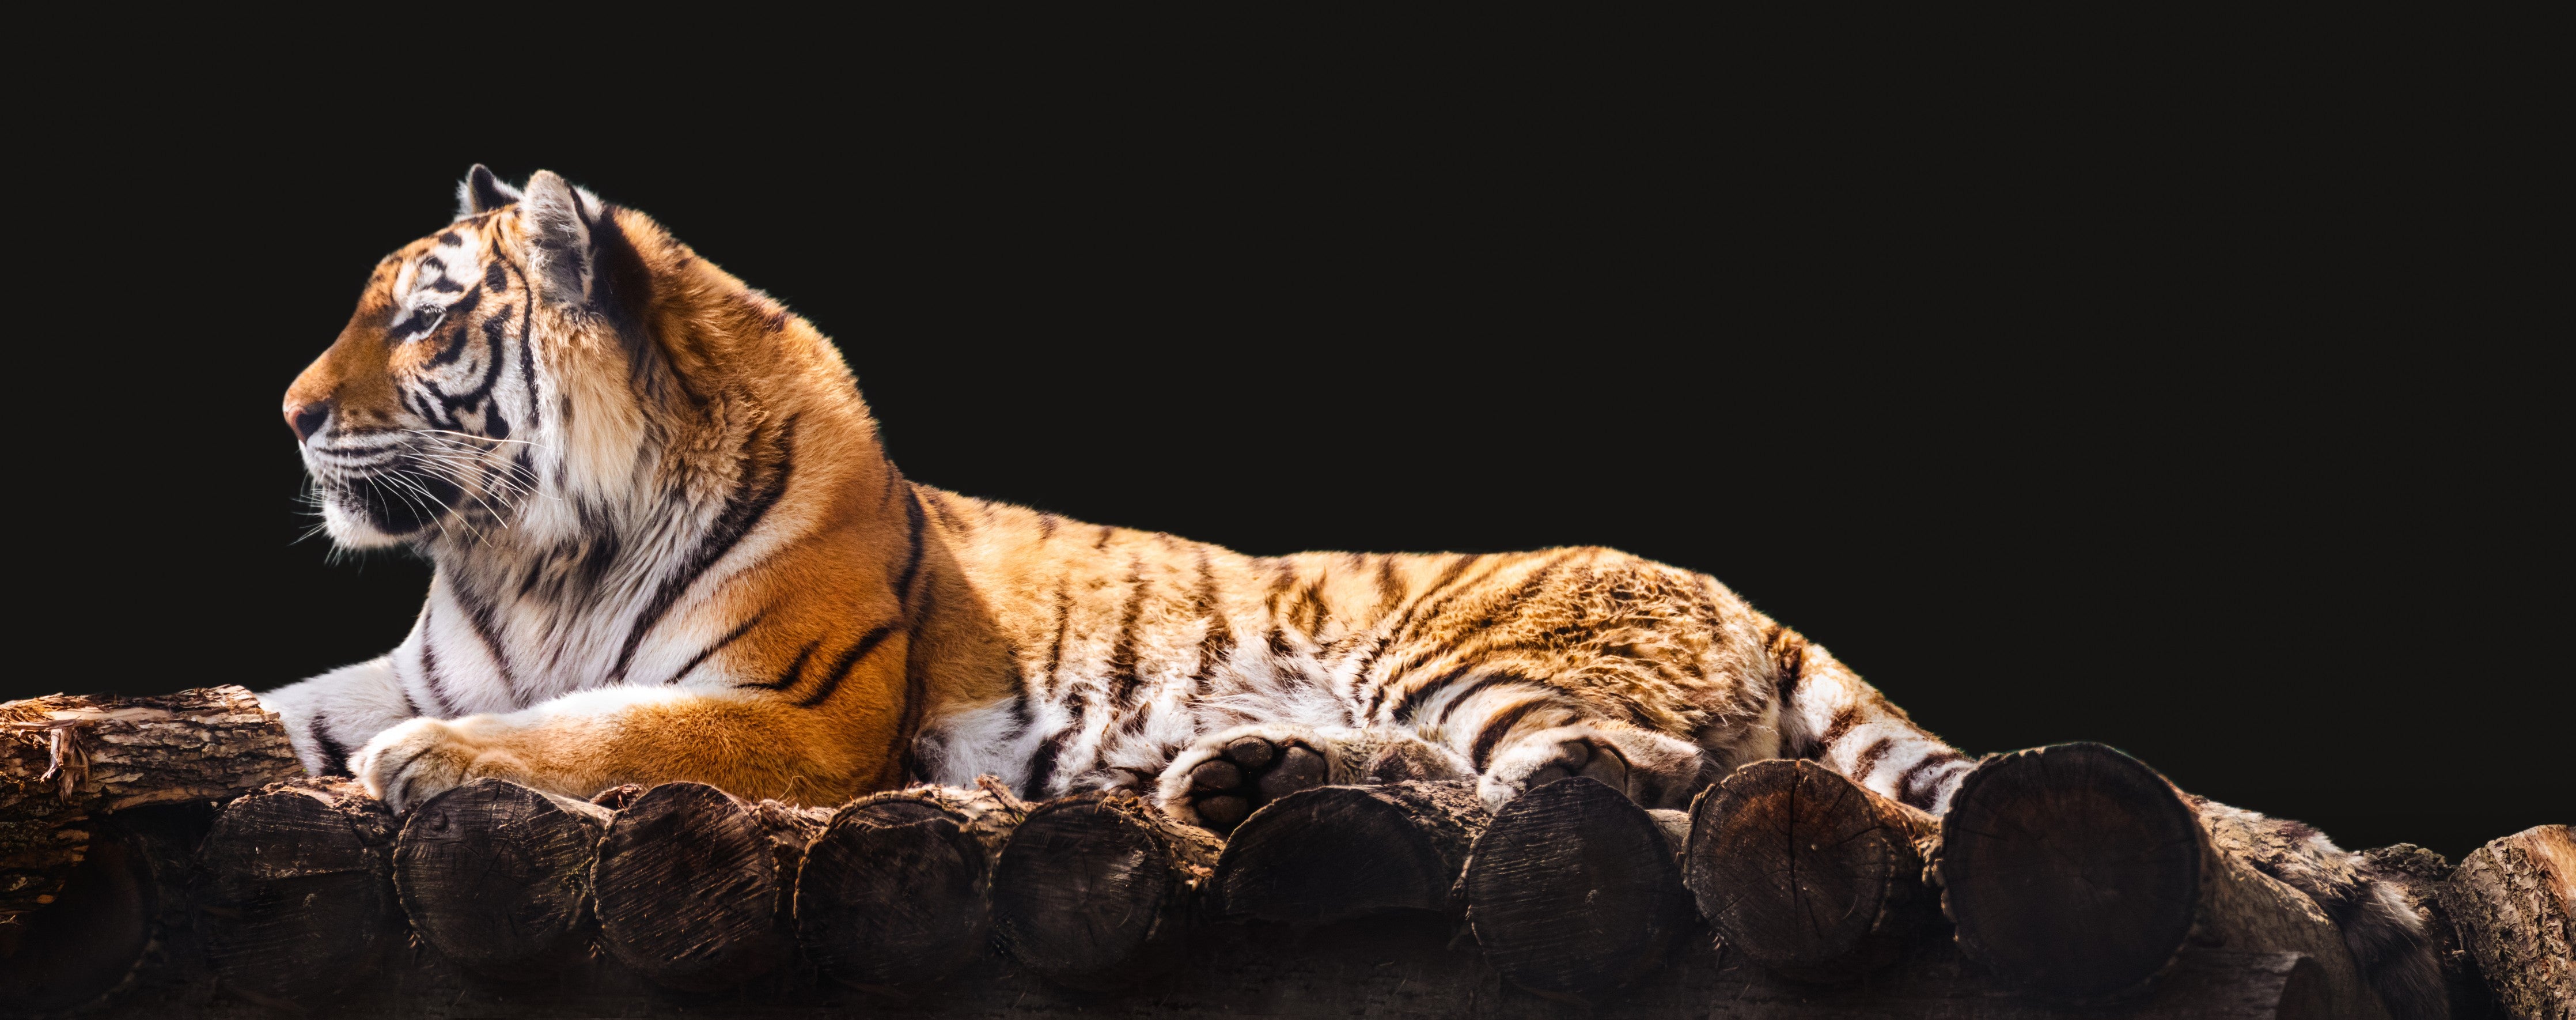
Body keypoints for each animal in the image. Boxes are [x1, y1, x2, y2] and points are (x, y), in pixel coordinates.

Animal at [258, 168, 2442, 1016]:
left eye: (419, 318)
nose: (285, 414)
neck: (525, 549)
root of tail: (1741, 585)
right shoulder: (401, 655)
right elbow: (277, 710)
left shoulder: (796, 708)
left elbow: (591, 727)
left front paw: (444, 775)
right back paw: (1229, 788)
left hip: (1467, 664)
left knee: (1614, 789)